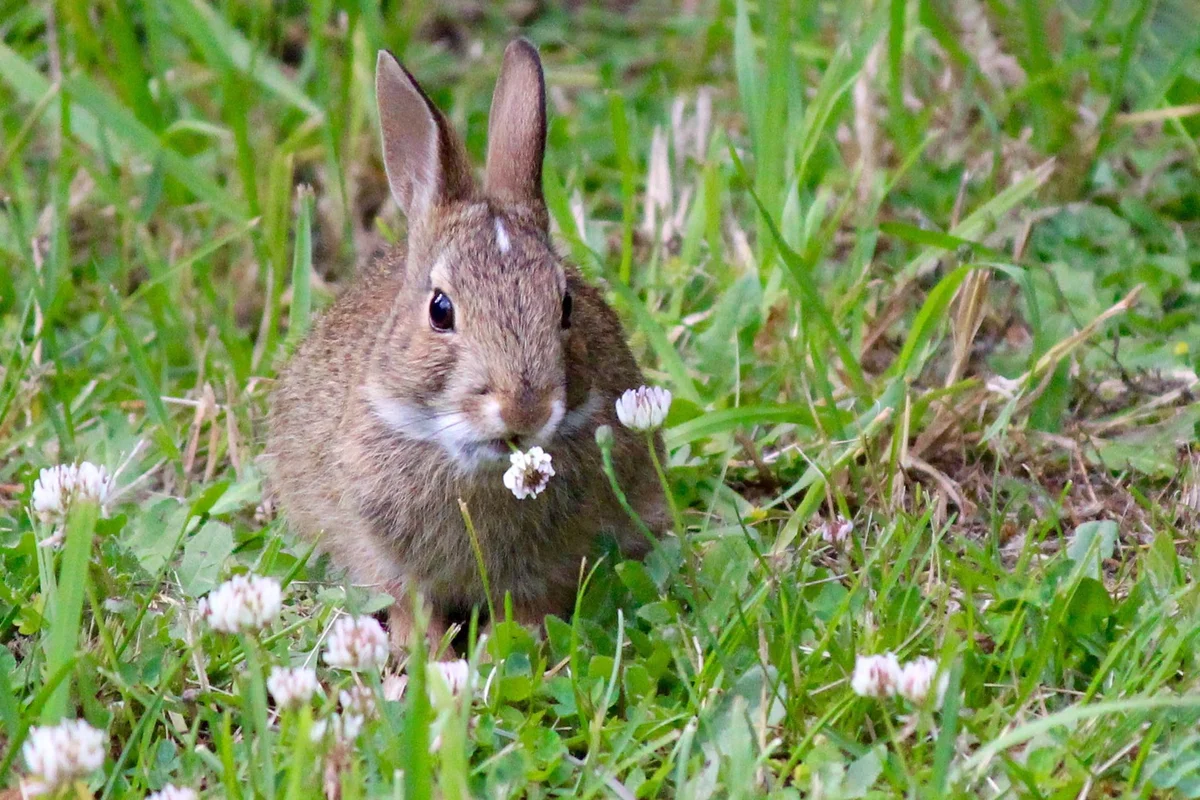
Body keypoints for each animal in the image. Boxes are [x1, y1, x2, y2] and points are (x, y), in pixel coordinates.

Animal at [266, 39, 669, 653]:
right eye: (440, 310)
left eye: (566, 305)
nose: (525, 408)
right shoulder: (384, 554)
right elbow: (411, 604)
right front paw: (431, 656)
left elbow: (529, 609)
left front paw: (507, 650)